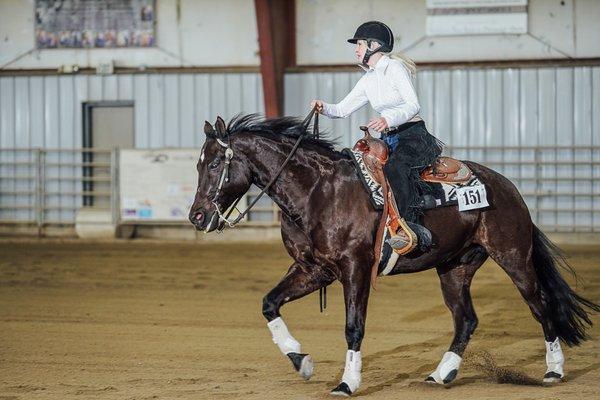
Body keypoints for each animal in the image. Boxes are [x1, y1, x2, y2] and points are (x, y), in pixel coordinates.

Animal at [189, 113, 600, 396]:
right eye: (198, 163)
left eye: (215, 164)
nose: (197, 216)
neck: (318, 191)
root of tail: (507, 187)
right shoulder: (313, 269)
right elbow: (269, 303)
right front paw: (301, 361)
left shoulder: (355, 268)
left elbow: (353, 326)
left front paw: (347, 382)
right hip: (454, 268)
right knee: (466, 320)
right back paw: (442, 374)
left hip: (514, 257)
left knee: (540, 305)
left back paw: (553, 370)